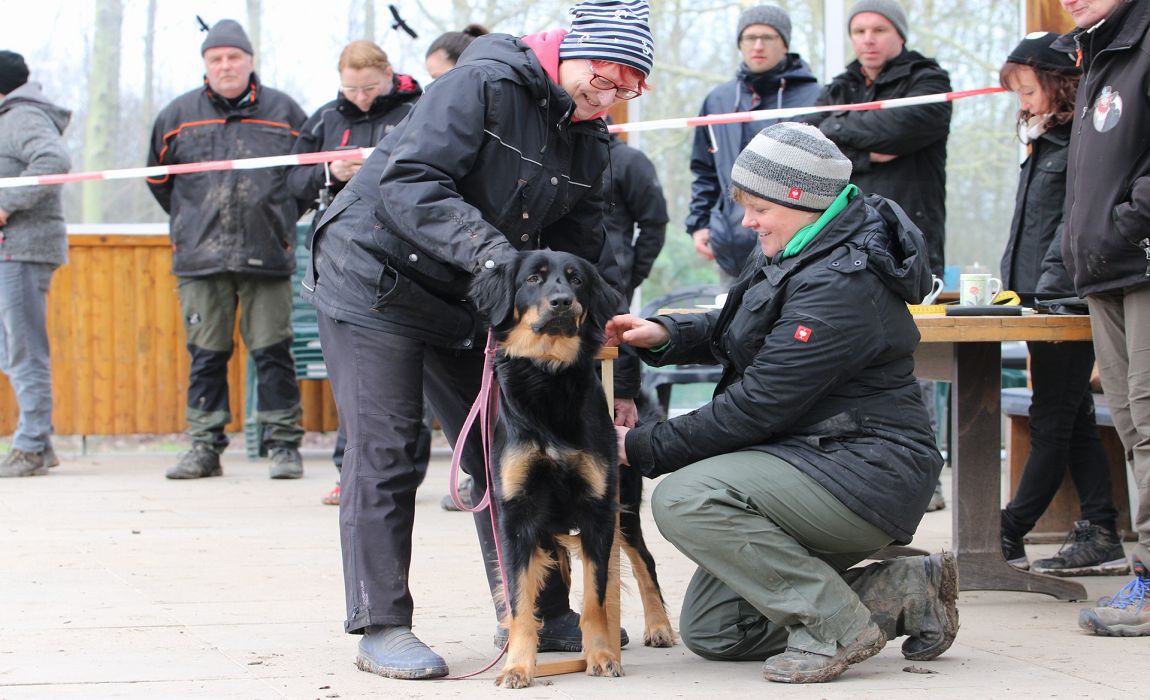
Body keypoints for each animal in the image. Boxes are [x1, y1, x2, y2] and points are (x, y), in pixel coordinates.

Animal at [469, 248, 671, 685]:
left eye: (577, 280)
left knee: (644, 561)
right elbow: (520, 601)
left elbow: (596, 597)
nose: (562, 302)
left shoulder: (599, 509)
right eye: (533, 278)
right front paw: (517, 665)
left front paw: (601, 656)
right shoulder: (517, 515)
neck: (548, 377)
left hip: (626, 509)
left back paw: (660, 626)